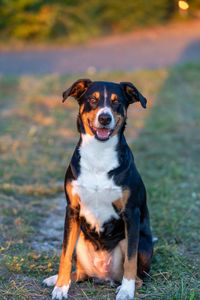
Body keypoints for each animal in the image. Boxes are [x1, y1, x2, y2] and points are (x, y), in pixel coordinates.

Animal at [43, 78, 153, 298]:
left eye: (116, 101)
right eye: (93, 100)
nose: (104, 118)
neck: (99, 154)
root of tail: (103, 276)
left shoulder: (131, 213)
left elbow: (130, 259)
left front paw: (126, 291)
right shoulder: (72, 210)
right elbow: (64, 254)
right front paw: (60, 286)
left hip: (142, 243)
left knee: (138, 276)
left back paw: (124, 285)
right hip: (79, 238)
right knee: (79, 272)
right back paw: (57, 280)